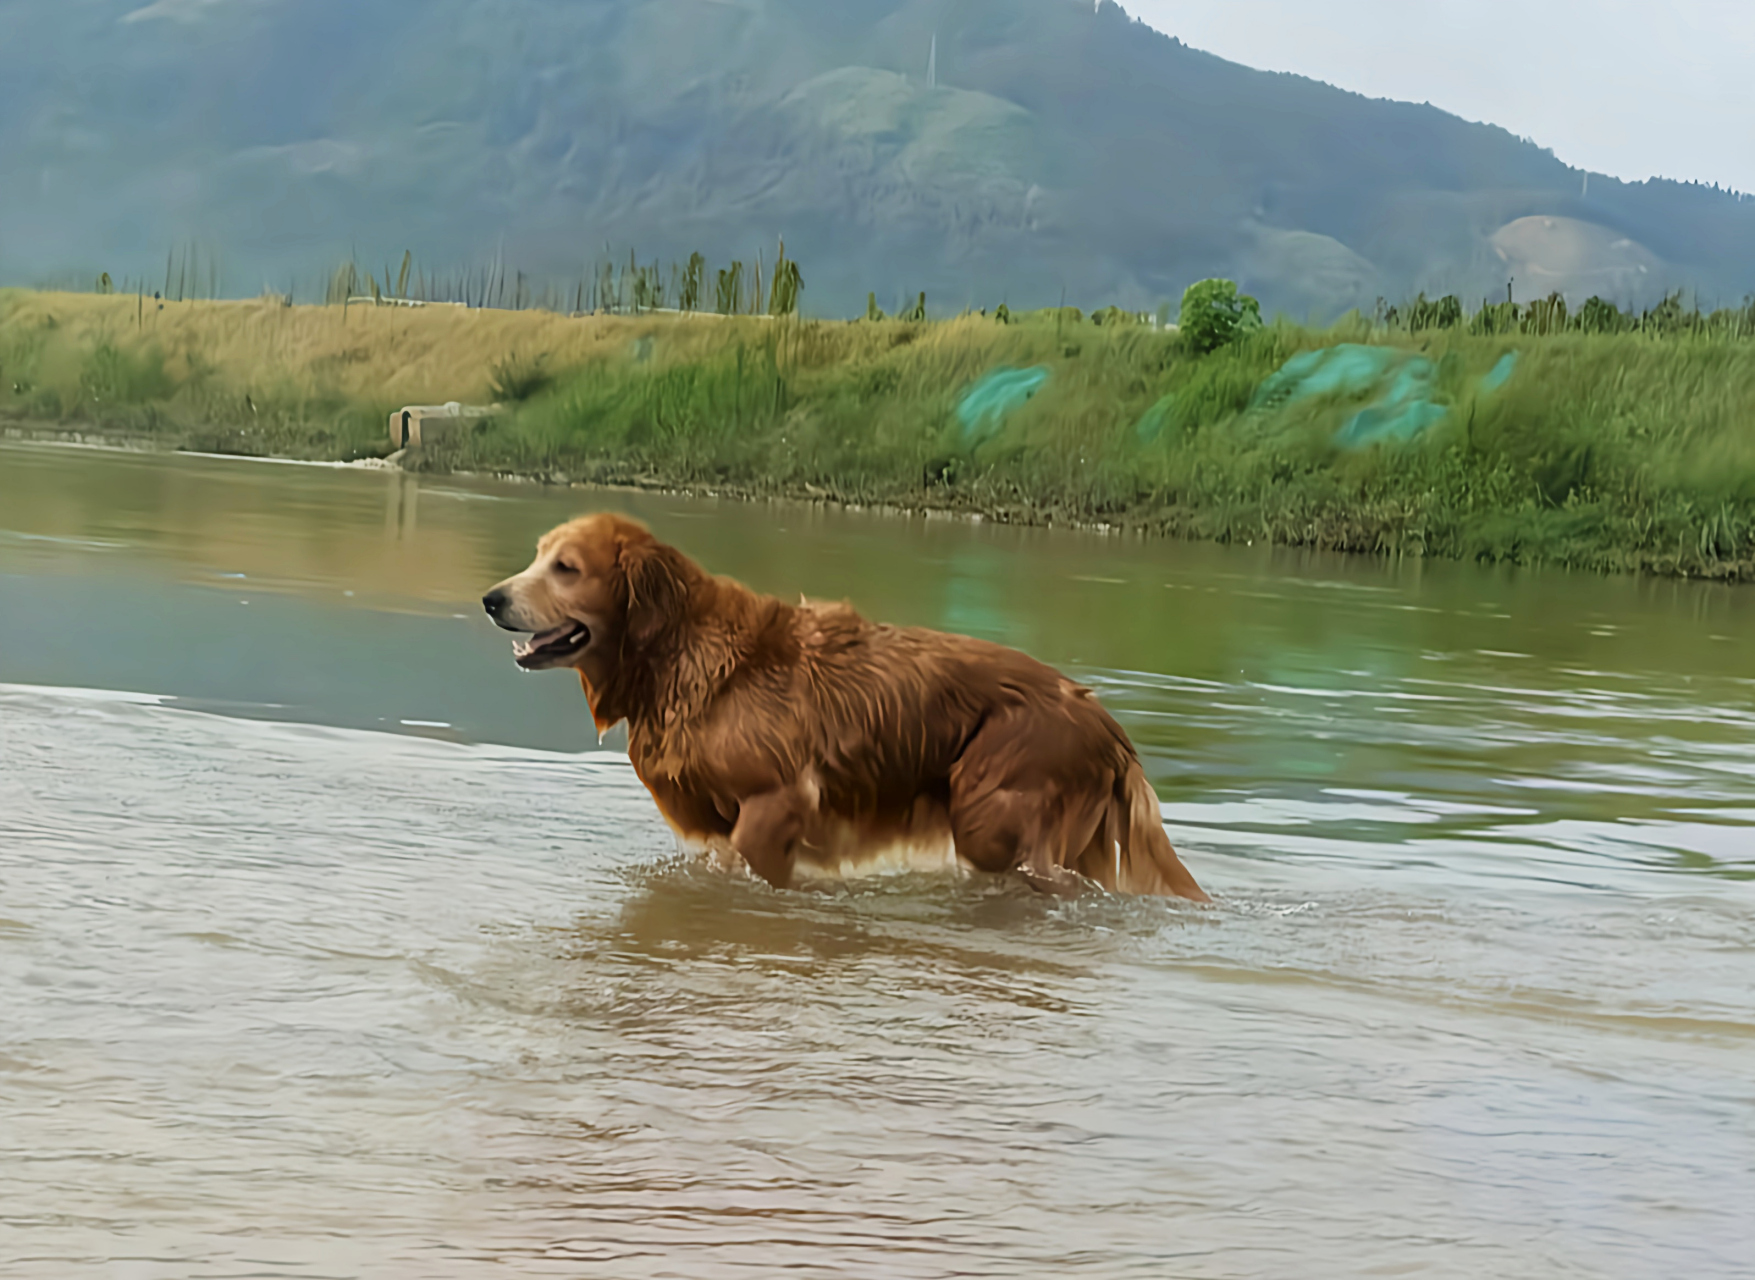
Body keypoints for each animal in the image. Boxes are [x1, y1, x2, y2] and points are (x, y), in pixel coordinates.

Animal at [487, 509, 1214, 898]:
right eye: (537, 555)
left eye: (566, 568)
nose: (493, 598)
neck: (678, 651)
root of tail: (1103, 717)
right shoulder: (714, 829)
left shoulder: (775, 803)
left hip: (991, 808)